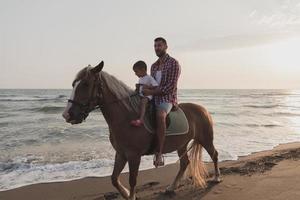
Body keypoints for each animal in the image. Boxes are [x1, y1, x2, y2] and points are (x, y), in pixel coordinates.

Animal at [61, 61, 220, 200]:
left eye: (86, 84)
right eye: (73, 84)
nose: (67, 115)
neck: (127, 116)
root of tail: (203, 109)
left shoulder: (134, 156)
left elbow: (132, 180)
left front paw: (131, 196)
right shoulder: (121, 154)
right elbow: (114, 178)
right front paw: (126, 194)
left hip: (206, 139)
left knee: (214, 154)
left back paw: (216, 178)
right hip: (181, 144)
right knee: (184, 163)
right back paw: (171, 188)